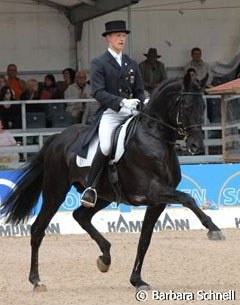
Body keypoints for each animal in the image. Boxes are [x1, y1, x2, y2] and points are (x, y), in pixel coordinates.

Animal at [0, 75, 225, 290]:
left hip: (102, 195)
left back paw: (105, 258)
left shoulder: (157, 202)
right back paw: (36, 280)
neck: (154, 139)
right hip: (55, 192)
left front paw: (137, 280)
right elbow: (188, 199)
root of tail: (57, 138)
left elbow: (144, 240)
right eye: (186, 106)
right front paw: (214, 229)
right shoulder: (152, 191)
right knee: (38, 229)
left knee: (80, 216)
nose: (196, 146)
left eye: (203, 107)